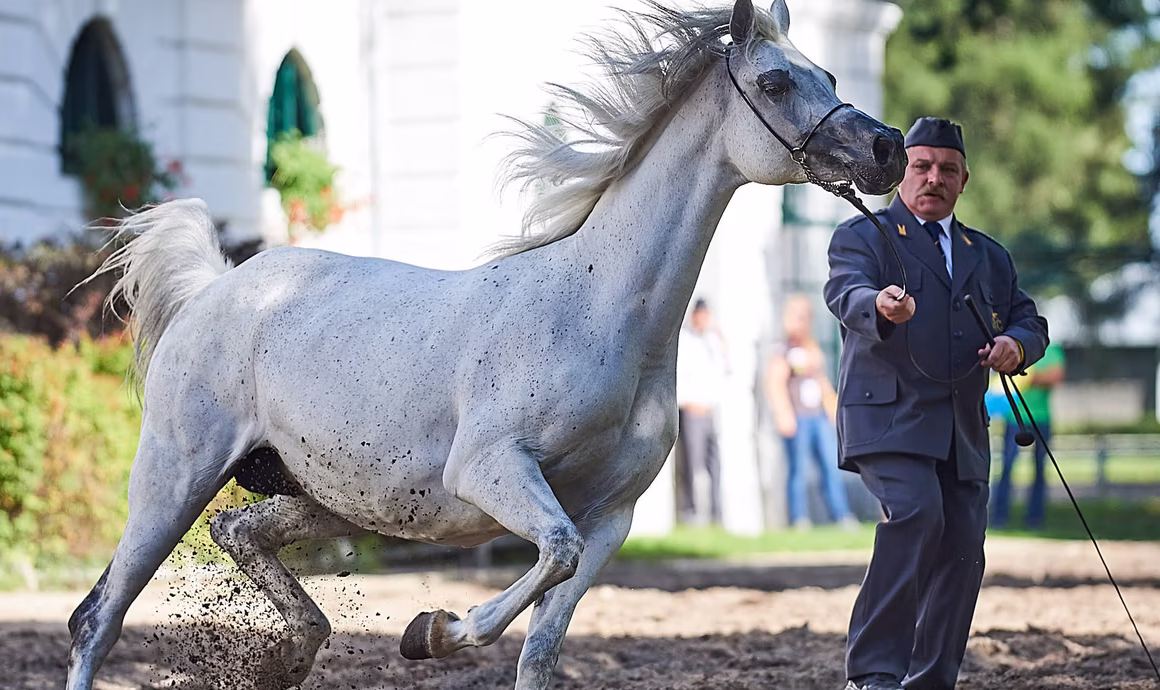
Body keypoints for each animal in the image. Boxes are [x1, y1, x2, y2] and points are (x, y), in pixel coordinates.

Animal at [66, 1, 905, 688]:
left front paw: (436, 632)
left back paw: (295, 651)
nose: (888, 148)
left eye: (829, 73)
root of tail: (213, 289)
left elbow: (544, 646)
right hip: (175, 477)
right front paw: (432, 631)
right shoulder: (491, 469)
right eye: (775, 83)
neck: (600, 312)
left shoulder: (612, 517)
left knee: (235, 532)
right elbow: (550, 554)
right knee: (97, 618)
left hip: (324, 501)